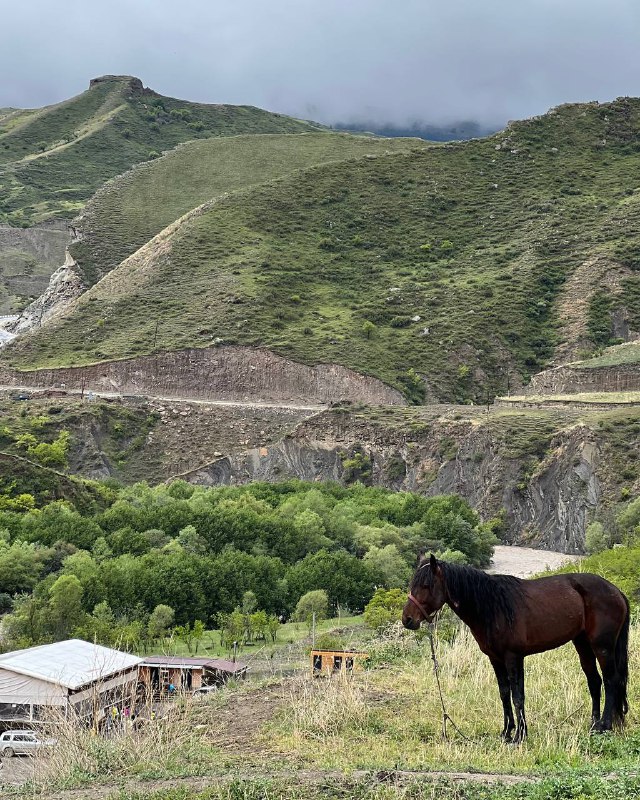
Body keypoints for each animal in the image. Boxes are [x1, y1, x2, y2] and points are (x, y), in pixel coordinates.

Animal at [402, 552, 628, 740]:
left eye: (426, 586)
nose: (407, 620)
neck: (493, 607)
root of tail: (616, 591)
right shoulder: (495, 659)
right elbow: (504, 693)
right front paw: (507, 731)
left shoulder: (513, 657)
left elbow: (517, 695)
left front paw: (520, 735)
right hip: (582, 644)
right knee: (594, 681)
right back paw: (594, 725)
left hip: (602, 646)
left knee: (611, 680)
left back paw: (605, 725)